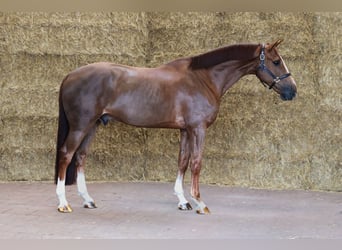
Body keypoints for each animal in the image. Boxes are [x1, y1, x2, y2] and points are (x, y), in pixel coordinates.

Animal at [55, 40, 296, 214]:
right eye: (276, 61)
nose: (292, 91)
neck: (203, 79)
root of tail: (69, 76)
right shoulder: (198, 129)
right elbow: (196, 163)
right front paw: (199, 203)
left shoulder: (185, 130)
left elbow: (183, 161)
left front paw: (183, 201)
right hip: (81, 126)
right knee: (66, 154)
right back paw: (63, 203)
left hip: (93, 125)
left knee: (81, 156)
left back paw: (88, 200)